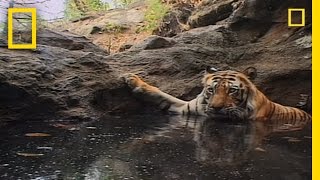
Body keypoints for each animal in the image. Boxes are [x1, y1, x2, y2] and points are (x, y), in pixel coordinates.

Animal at [121, 66, 312, 125]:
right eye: (211, 90)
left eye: (232, 91)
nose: (216, 108)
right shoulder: (185, 108)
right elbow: (162, 95)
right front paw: (133, 80)